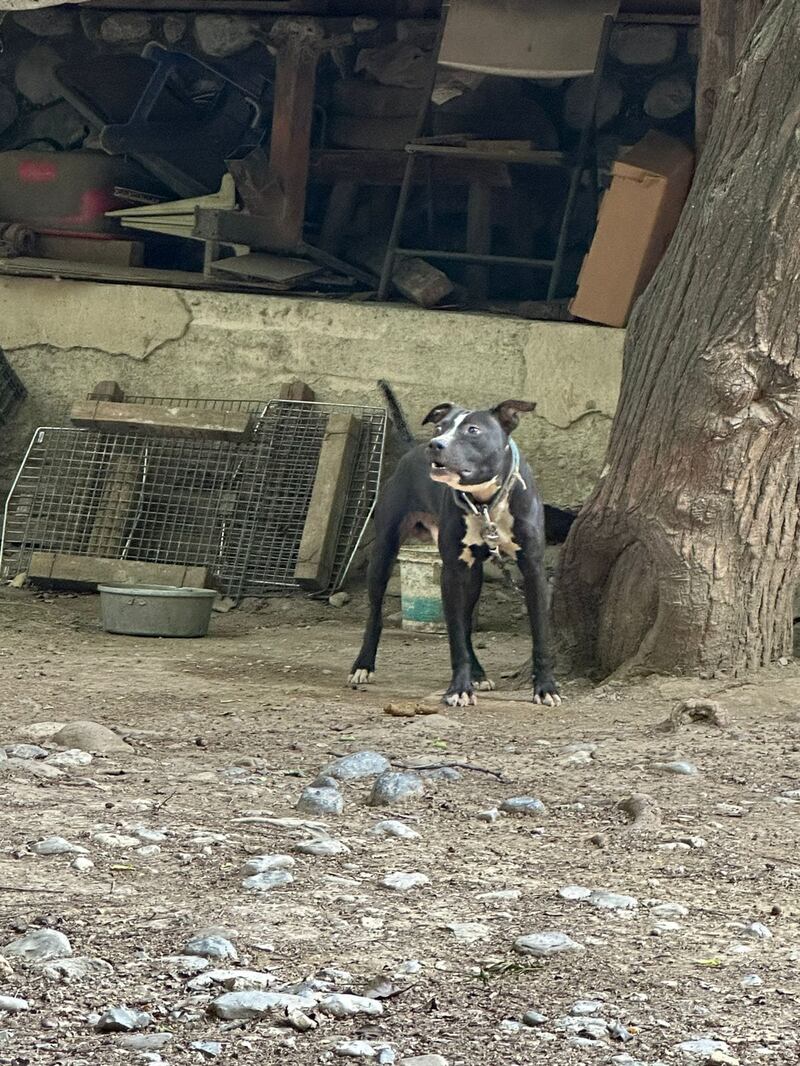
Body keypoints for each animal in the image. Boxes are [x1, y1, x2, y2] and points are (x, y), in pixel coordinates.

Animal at [349, 383, 571, 707]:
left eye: (472, 430)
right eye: (440, 427)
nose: (435, 444)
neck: (486, 501)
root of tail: (412, 447)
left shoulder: (533, 570)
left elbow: (541, 636)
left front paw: (546, 688)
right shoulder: (452, 571)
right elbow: (455, 639)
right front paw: (458, 688)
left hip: (473, 576)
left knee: (466, 624)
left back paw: (478, 673)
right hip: (385, 552)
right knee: (375, 614)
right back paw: (363, 665)